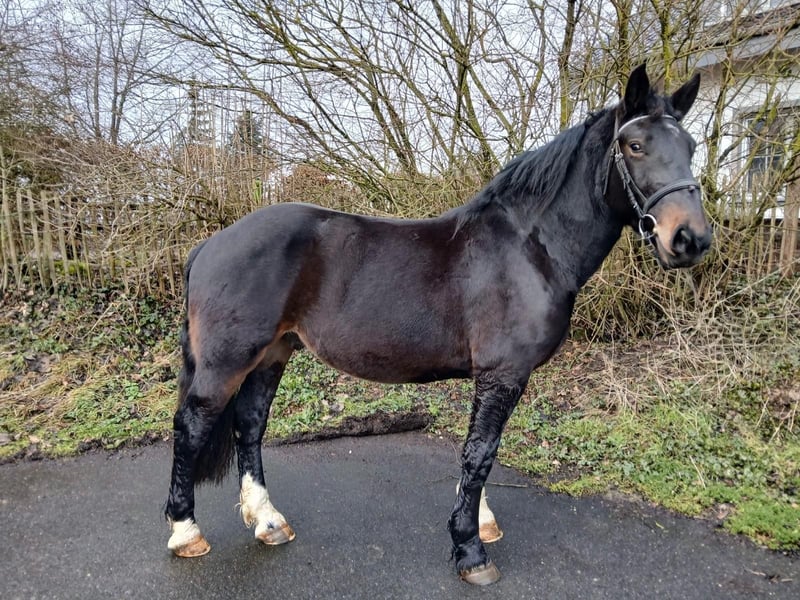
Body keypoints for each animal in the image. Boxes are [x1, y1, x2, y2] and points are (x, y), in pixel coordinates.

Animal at [164, 64, 711, 585]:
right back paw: (186, 531)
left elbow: (478, 453)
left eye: (690, 147)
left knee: (249, 425)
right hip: (227, 360)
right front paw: (470, 551)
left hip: (272, 353)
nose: (690, 239)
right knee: (191, 427)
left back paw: (268, 521)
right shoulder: (503, 374)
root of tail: (211, 244)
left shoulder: (494, 377)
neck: (530, 249)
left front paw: (481, 522)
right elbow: (480, 453)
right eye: (636, 146)